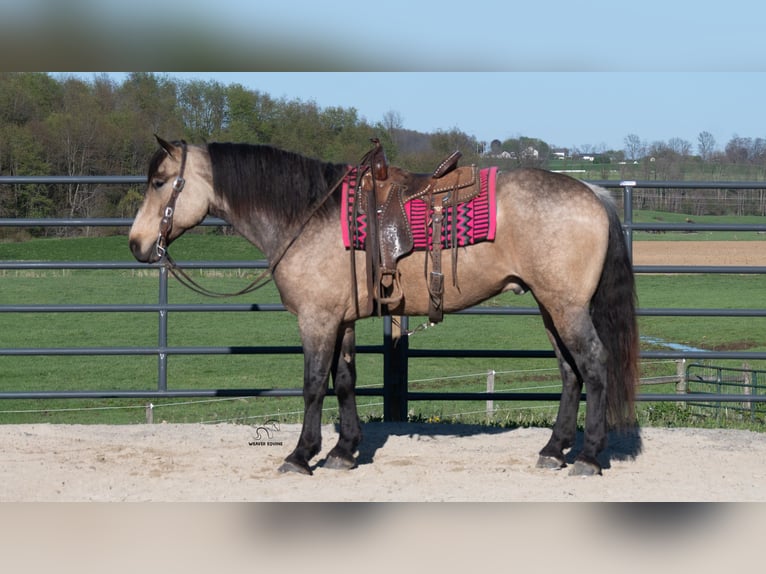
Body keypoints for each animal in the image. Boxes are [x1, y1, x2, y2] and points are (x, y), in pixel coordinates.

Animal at [129, 136, 639, 476]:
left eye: (159, 182)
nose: (136, 244)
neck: (307, 216)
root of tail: (595, 194)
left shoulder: (317, 320)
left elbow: (313, 386)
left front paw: (300, 455)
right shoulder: (342, 320)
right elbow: (345, 382)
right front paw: (343, 452)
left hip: (567, 309)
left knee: (594, 366)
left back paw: (588, 457)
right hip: (551, 308)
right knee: (570, 373)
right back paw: (554, 451)